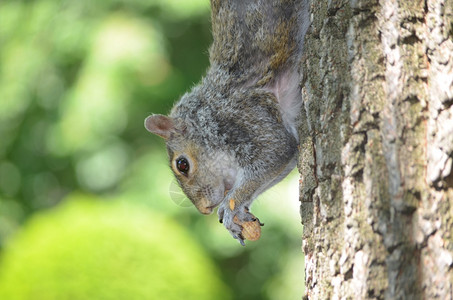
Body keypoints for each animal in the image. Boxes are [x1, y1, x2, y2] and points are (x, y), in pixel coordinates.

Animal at [145, 0, 310, 246]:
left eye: (182, 164)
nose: (205, 209)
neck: (209, 113)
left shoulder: (243, 117)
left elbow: (276, 150)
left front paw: (231, 206)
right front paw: (238, 209)